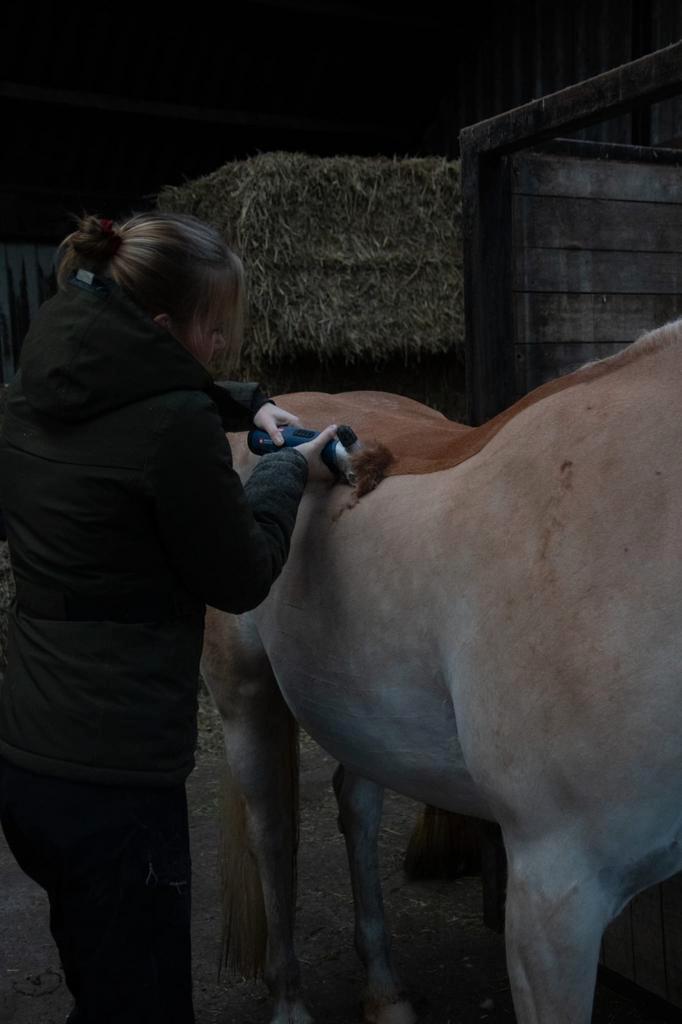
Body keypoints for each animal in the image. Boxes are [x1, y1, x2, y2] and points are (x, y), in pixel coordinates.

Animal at [201, 319, 682, 1024]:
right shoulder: (554, 892)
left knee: (357, 809)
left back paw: (385, 991)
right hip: (247, 701)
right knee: (274, 835)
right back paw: (289, 1001)